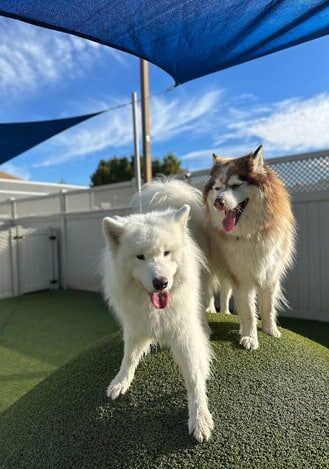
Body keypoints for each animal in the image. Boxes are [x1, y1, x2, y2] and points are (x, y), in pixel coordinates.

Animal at [102, 204, 213, 438]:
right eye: (140, 257)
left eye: (166, 253)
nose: (161, 283)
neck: (155, 310)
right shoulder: (135, 328)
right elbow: (129, 357)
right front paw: (120, 381)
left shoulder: (184, 334)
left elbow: (193, 377)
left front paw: (199, 418)